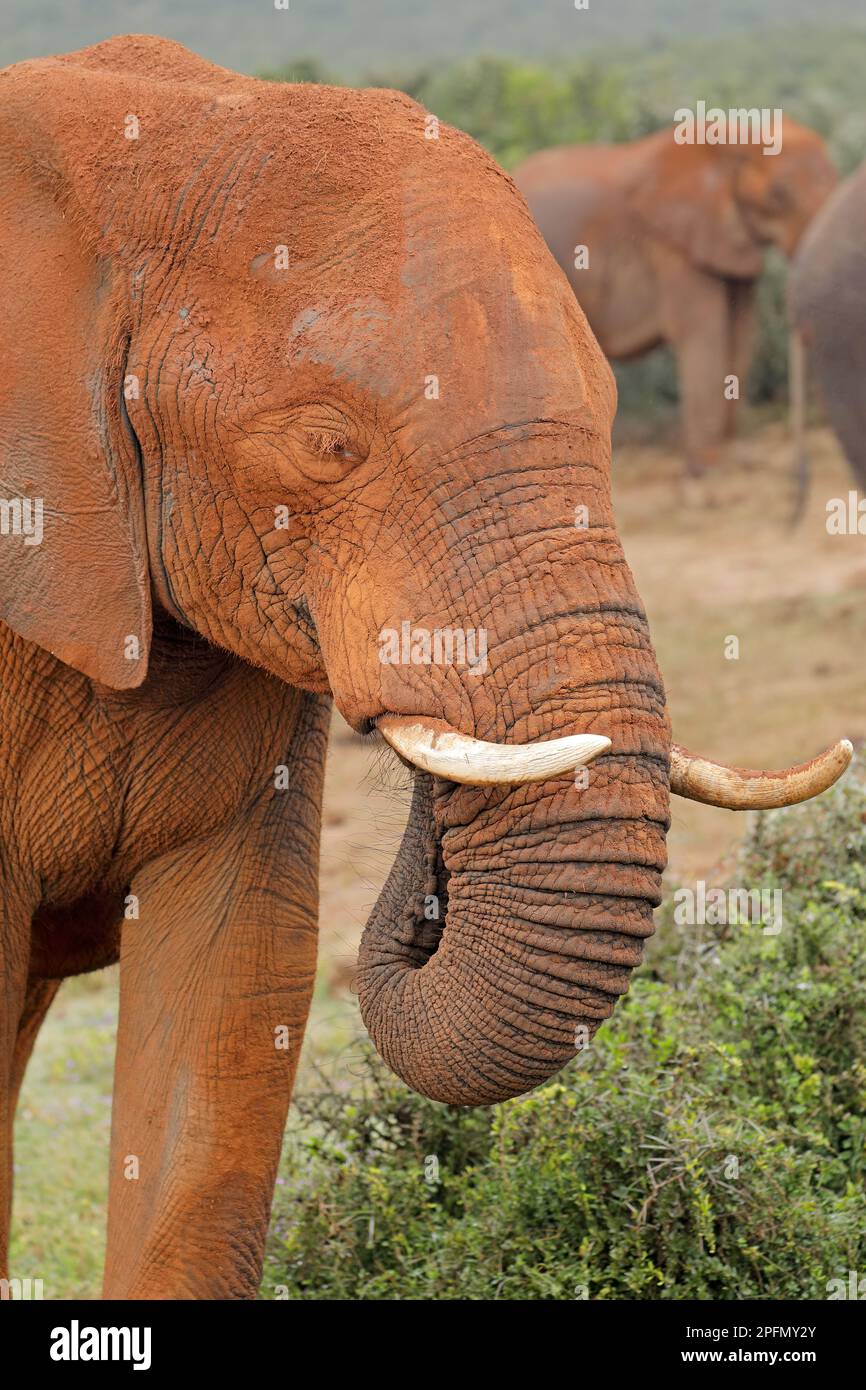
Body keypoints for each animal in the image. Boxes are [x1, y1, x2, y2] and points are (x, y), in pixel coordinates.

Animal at [514, 126, 839, 483]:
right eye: (778, 194)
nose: (801, 477)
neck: (728, 139)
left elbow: (740, 335)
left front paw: (731, 460)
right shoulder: (676, 247)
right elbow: (703, 334)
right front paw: (707, 473)